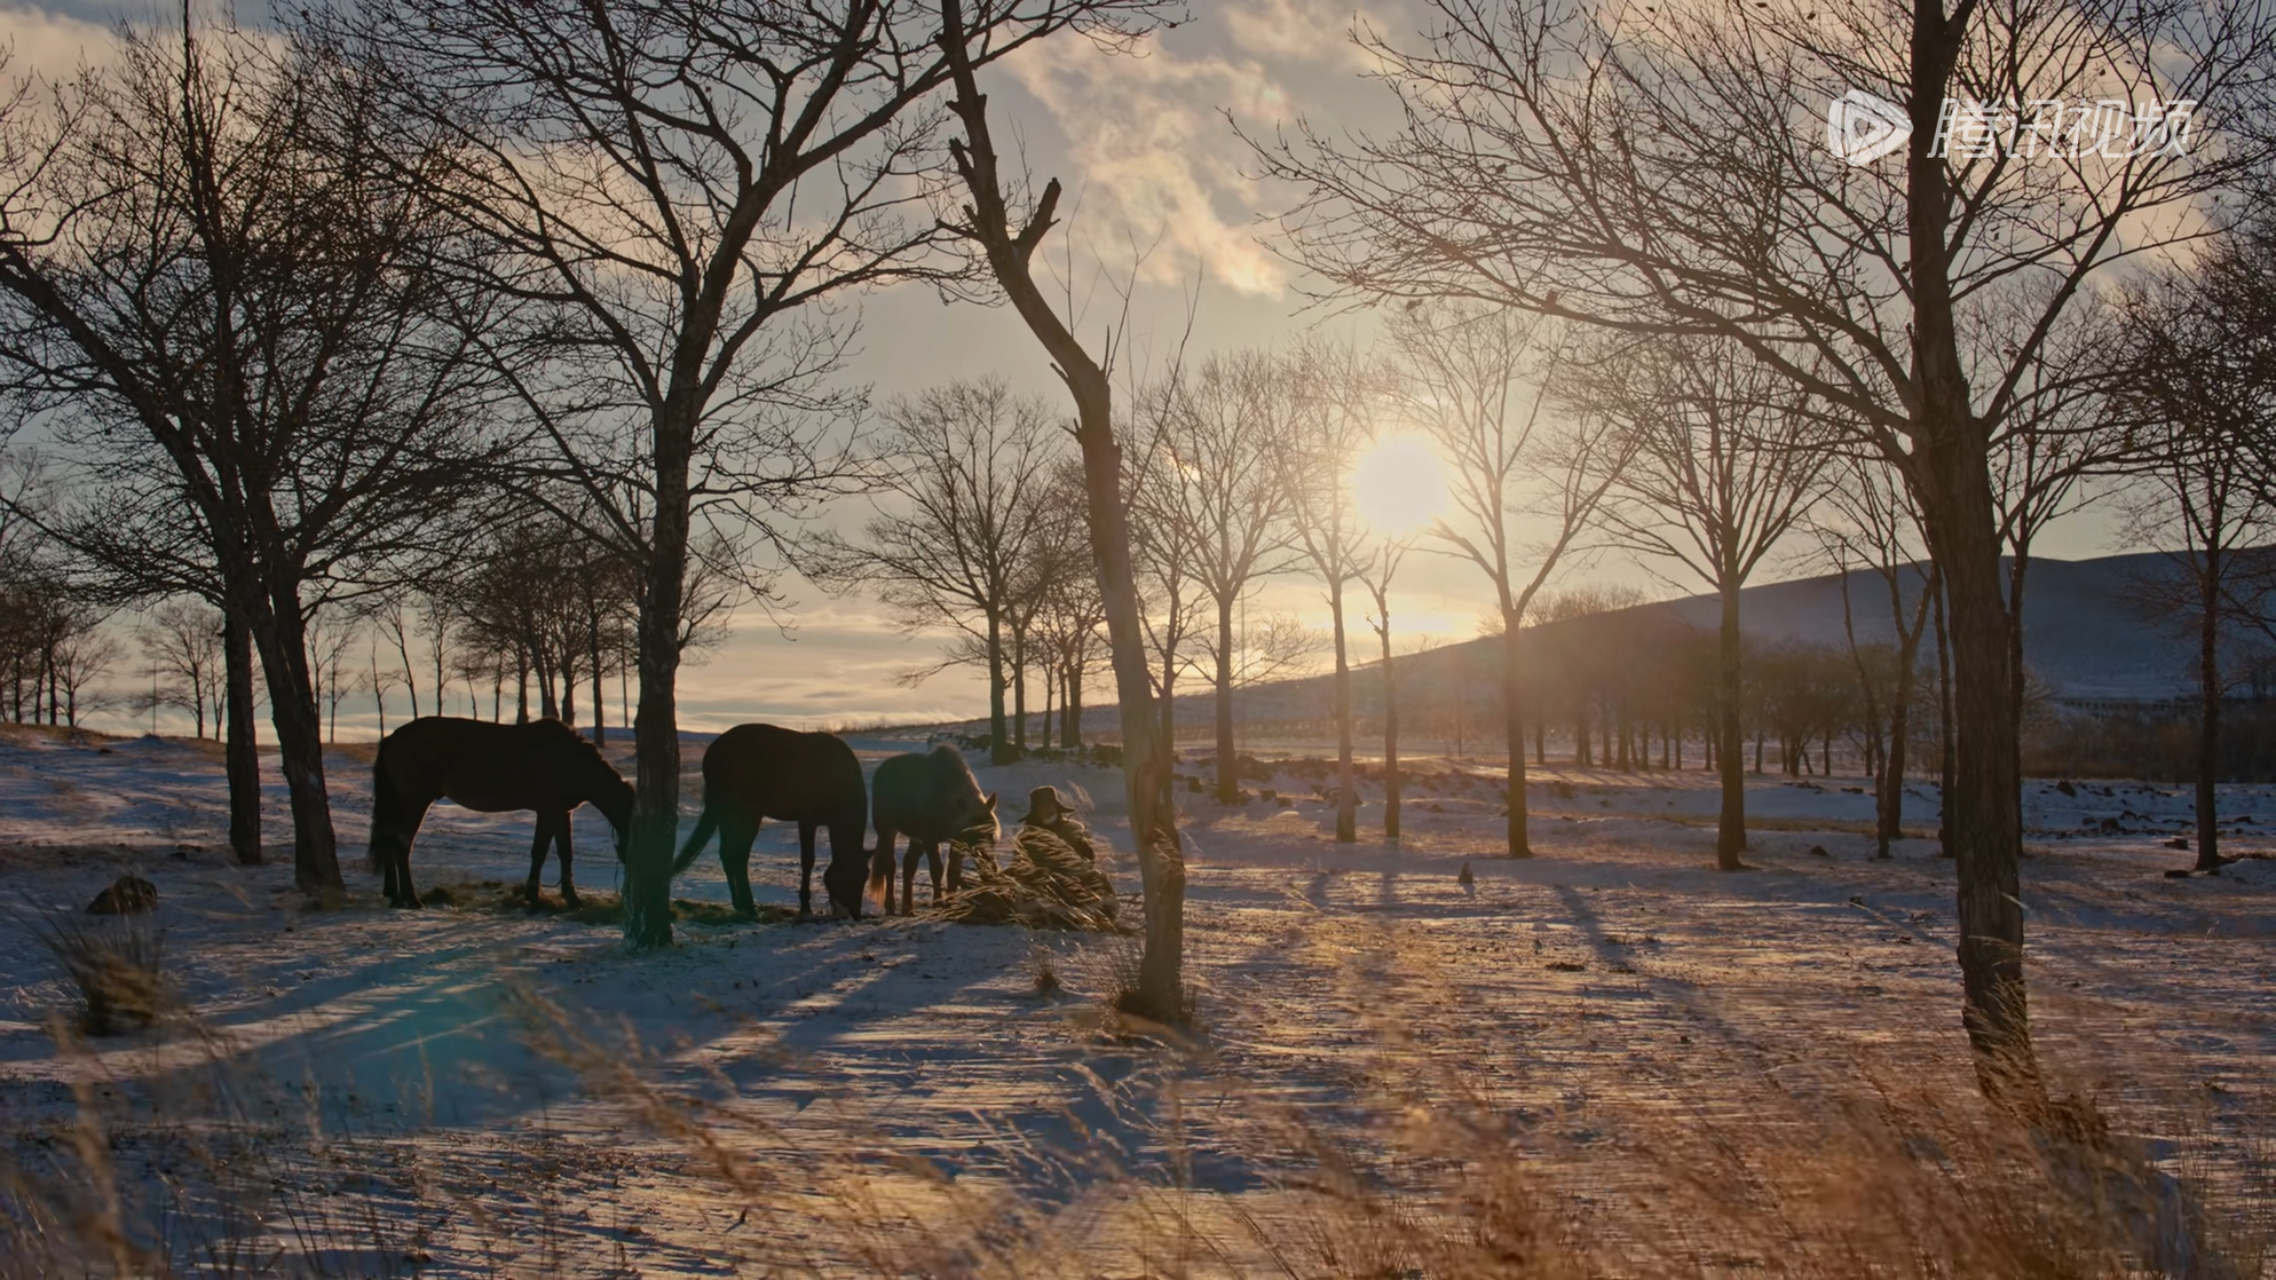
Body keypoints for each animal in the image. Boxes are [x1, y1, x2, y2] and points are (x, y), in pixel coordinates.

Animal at [368, 706, 632, 906]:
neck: (571, 761)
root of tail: (391, 738)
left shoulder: (561, 812)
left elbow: (564, 852)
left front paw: (570, 897)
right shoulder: (548, 810)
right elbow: (540, 851)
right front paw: (534, 897)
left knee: (389, 840)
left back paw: (394, 895)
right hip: (415, 802)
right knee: (402, 843)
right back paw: (411, 899)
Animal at [664, 719, 869, 915]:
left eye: (865, 877)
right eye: (849, 877)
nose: (855, 914)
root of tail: (715, 753)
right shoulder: (807, 821)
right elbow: (807, 860)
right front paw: (805, 906)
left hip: (729, 812)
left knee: (729, 853)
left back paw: (740, 903)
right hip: (747, 812)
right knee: (738, 854)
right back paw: (747, 905)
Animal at [869, 742, 996, 911]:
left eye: (991, 832)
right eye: (972, 834)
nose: (990, 864)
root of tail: (880, 770)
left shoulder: (955, 841)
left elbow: (953, 872)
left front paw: (950, 902)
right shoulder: (931, 839)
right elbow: (937, 870)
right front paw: (938, 902)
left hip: (915, 837)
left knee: (908, 865)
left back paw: (907, 907)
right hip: (887, 830)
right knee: (889, 864)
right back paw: (890, 905)